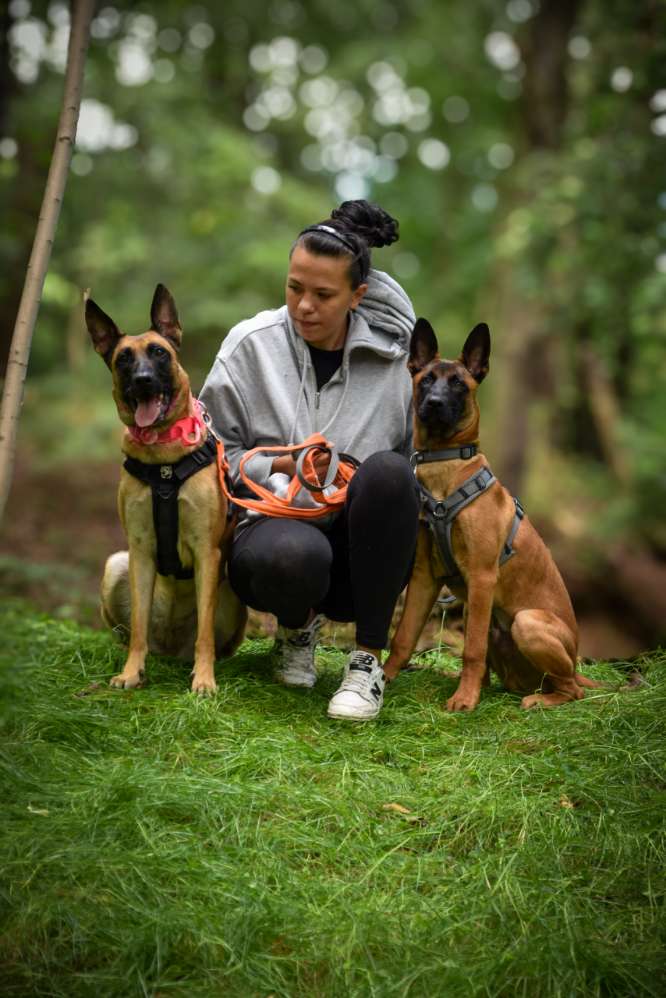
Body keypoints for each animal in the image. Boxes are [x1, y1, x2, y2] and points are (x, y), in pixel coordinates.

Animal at [85, 284, 246, 696]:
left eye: (159, 352)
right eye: (123, 359)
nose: (143, 379)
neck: (164, 460)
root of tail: (172, 648)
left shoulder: (208, 552)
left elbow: (205, 634)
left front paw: (204, 680)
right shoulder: (140, 549)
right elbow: (140, 627)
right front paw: (131, 672)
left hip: (231, 590)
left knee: (209, 638)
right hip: (116, 565)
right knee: (134, 633)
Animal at [384, 320, 596, 712]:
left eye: (458, 384)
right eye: (426, 379)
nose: (434, 403)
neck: (446, 468)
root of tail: (576, 664)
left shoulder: (482, 577)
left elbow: (472, 650)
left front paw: (464, 701)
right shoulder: (423, 577)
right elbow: (404, 635)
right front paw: (384, 675)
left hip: (525, 622)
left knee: (572, 690)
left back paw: (537, 700)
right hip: (478, 612)